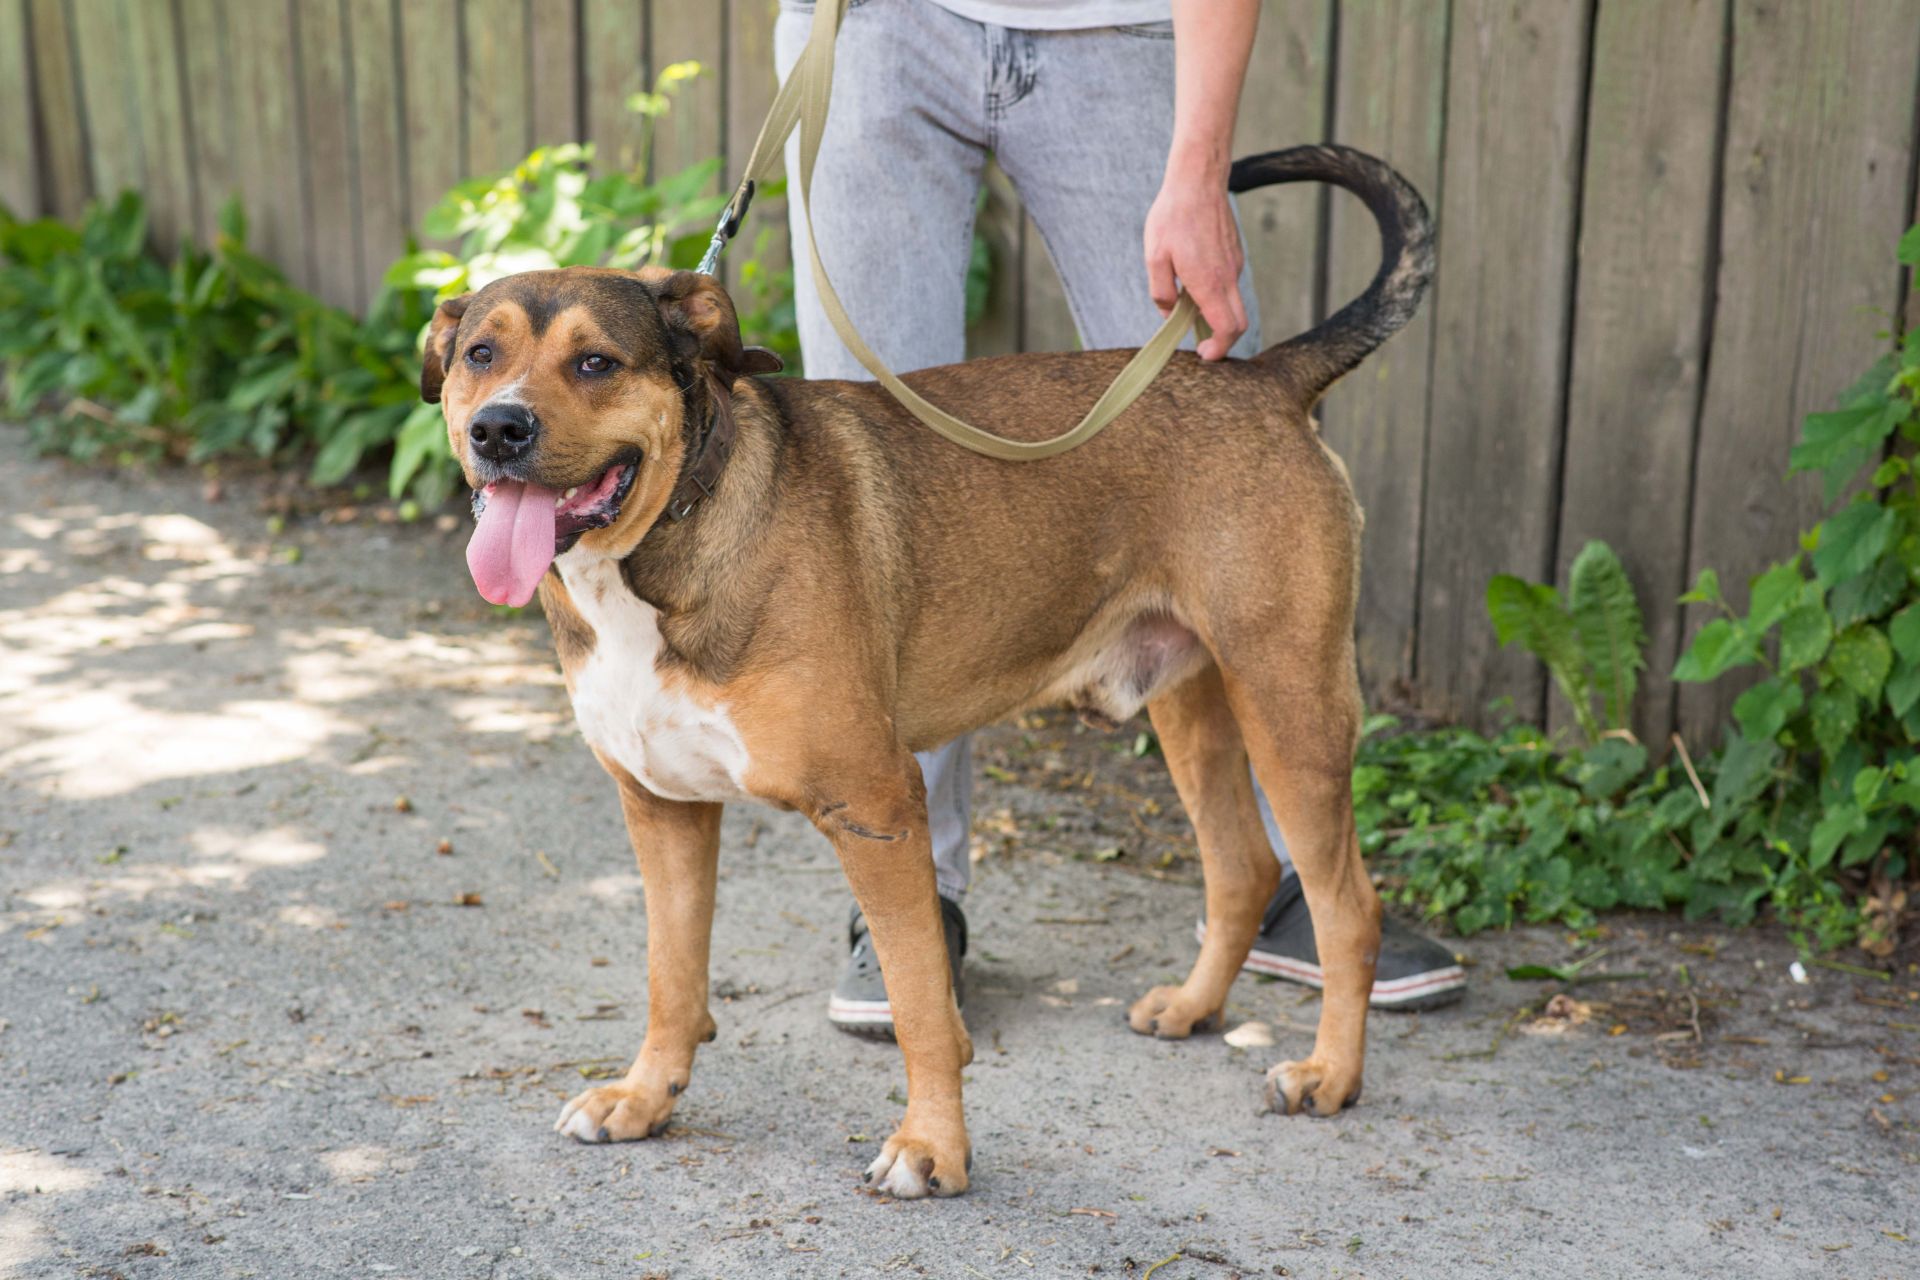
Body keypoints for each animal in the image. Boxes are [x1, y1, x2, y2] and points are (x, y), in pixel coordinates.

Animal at [424, 144, 1443, 1197]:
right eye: (479, 356)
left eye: (597, 362)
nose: (498, 429)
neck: (668, 536)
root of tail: (1263, 378)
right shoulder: (662, 808)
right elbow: (672, 978)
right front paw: (643, 1097)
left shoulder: (875, 807)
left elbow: (920, 1004)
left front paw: (932, 1147)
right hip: (1191, 704)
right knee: (1241, 868)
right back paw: (1196, 1008)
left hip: (1291, 705)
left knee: (1349, 908)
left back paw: (1331, 1073)